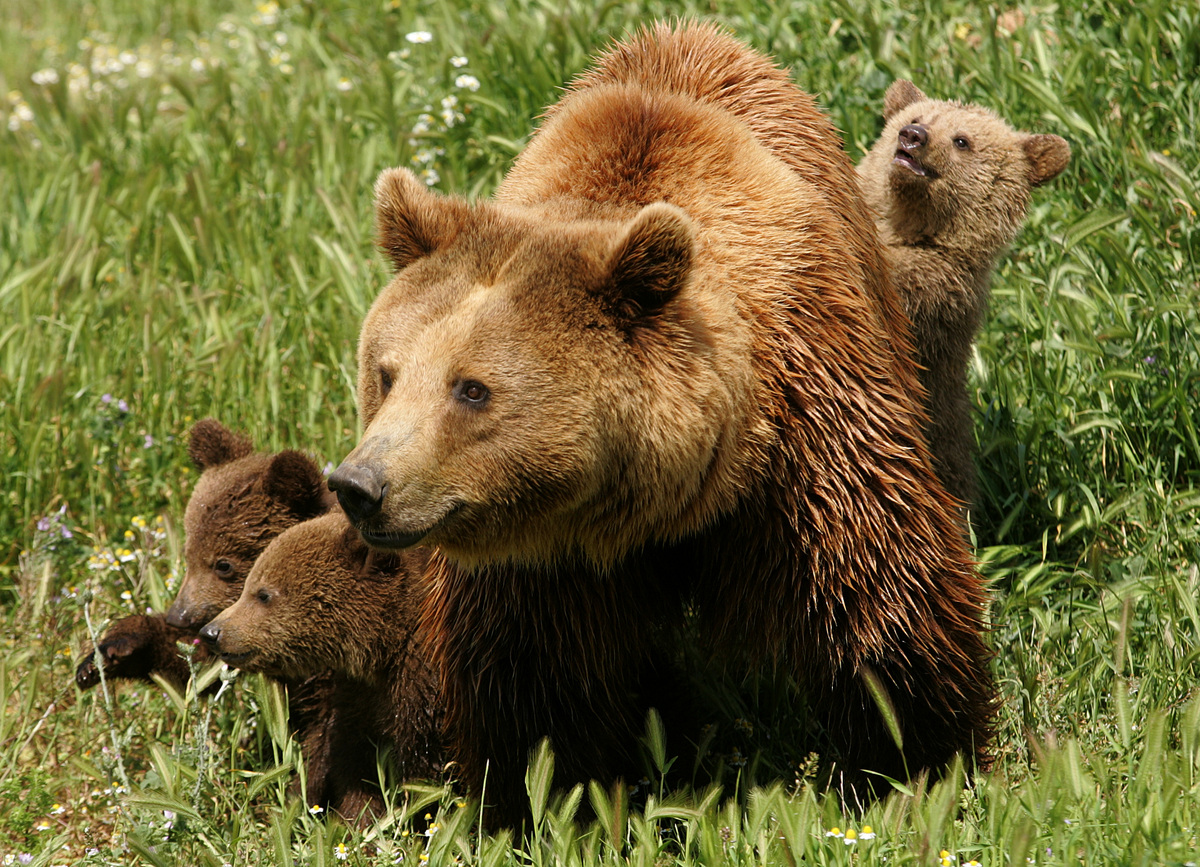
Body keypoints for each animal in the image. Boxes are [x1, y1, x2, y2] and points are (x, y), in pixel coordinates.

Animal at [199, 506, 444, 816]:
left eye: (263, 594)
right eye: (248, 586)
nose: (211, 632)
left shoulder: (423, 685)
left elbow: (422, 762)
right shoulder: (358, 692)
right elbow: (348, 756)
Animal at [328, 20, 993, 826]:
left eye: (472, 389)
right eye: (387, 372)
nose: (360, 484)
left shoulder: (806, 437)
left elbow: (875, 586)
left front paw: (914, 756)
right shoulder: (544, 555)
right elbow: (537, 681)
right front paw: (552, 798)